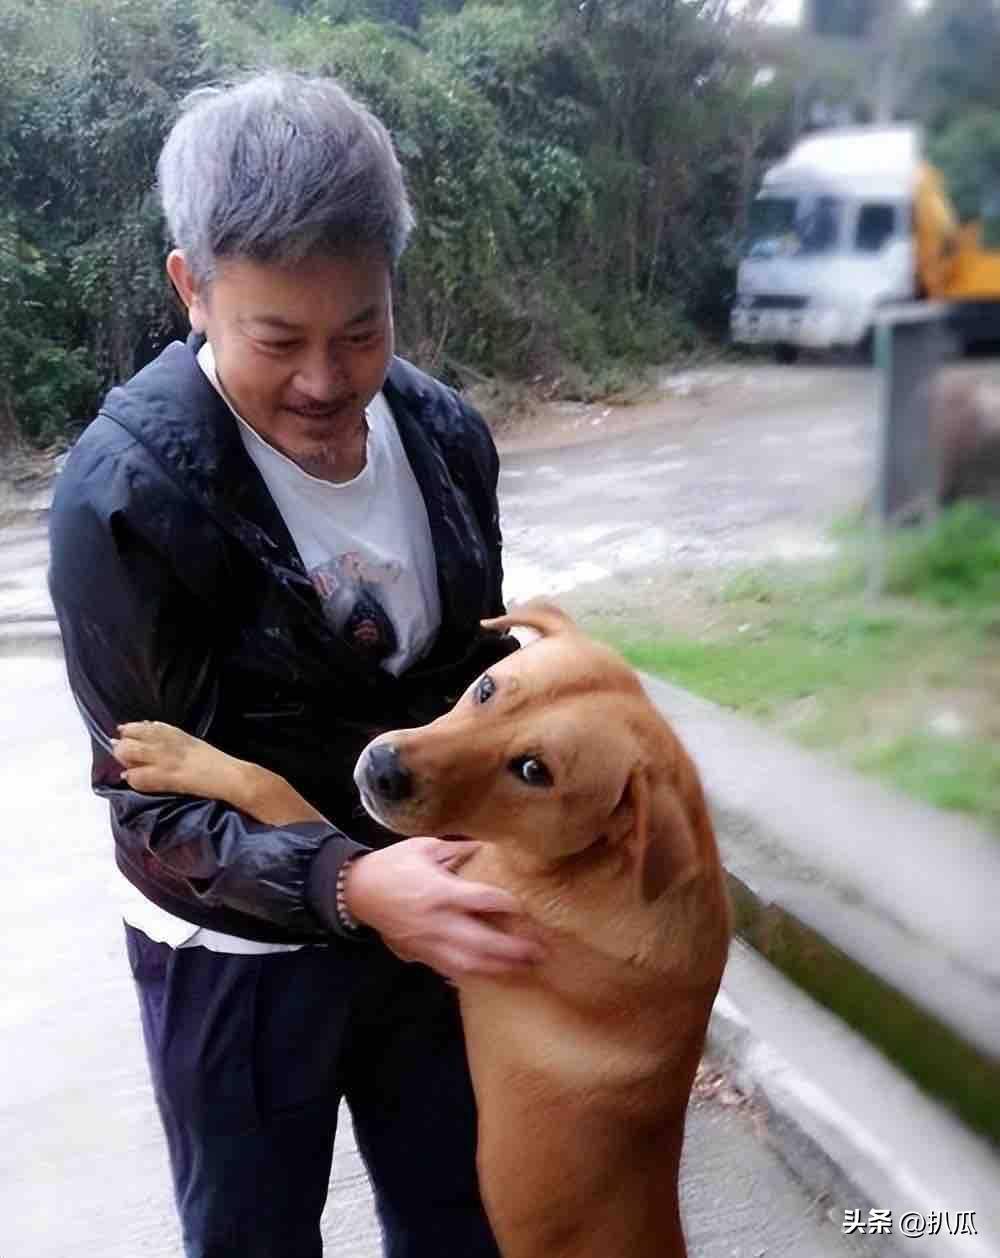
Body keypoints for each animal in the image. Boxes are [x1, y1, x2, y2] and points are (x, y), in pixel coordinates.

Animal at [114, 601, 731, 1257]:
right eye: (486, 689)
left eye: (533, 770)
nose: (383, 768)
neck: (595, 864)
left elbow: (274, 787)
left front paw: (178, 756)